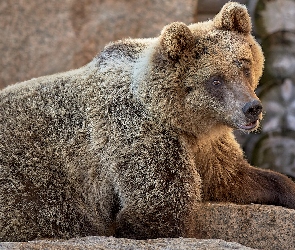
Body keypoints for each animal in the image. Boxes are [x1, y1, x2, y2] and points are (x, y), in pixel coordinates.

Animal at [0, 0, 295, 241]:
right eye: (215, 80)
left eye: (243, 65)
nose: (252, 108)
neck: (183, 120)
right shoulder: (137, 133)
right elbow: (160, 207)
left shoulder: (207, 144)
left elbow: (232, 177)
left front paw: (286, 189)